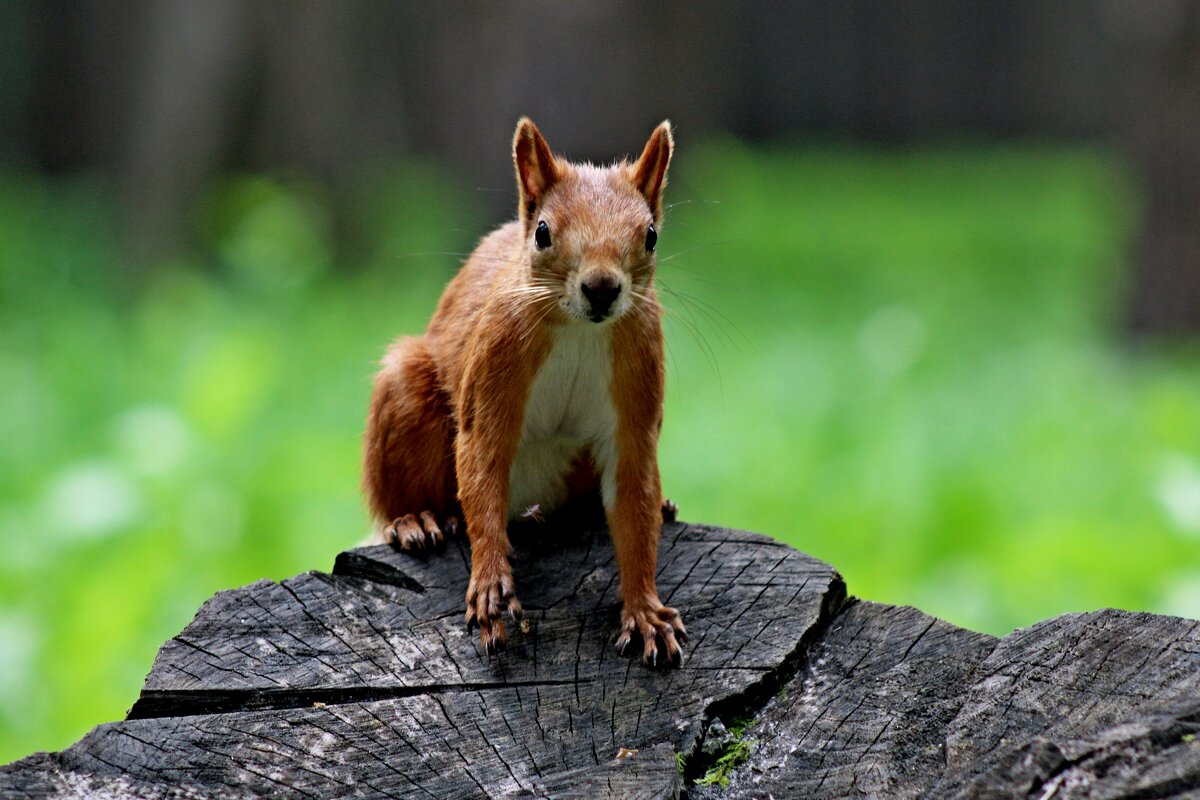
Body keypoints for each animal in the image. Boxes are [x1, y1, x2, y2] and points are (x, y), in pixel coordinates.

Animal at [360, 117, 686, 671]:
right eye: (543, 233)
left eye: (651, 235)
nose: (602, 288)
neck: (580, 330)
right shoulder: (496, 365)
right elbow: (483, 464)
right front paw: (491, 584)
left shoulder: (637, 399)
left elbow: (634, 501)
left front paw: (645, 611)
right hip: (406, 394)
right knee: (411, 498)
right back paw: (416, 520)